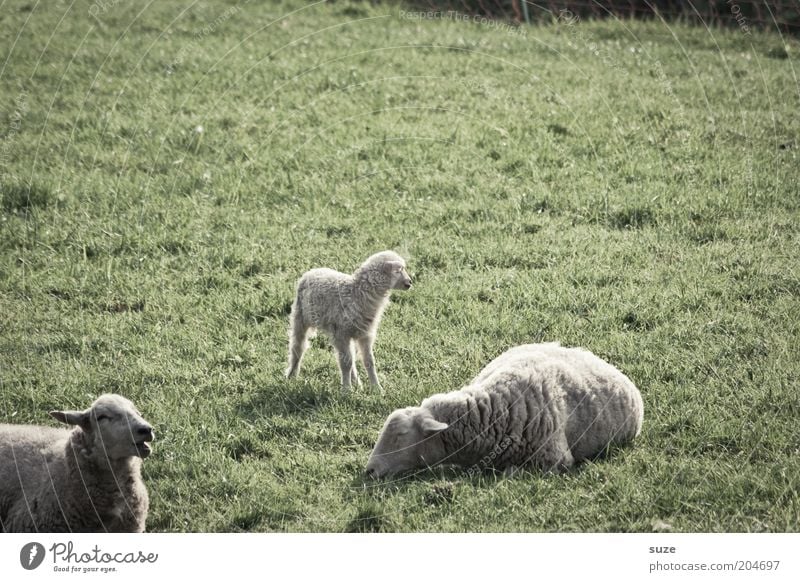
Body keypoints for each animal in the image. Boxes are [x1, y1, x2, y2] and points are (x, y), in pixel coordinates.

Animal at [286, 249, 412, 394]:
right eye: (398, 270)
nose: (410, 282)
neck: (357, 292)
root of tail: (312, 271)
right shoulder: (341, 334)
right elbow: (346, 363)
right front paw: (346, 391)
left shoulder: (365, 334)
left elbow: (369, 361)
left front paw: (377, 389)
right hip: (300, 317)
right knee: (297, 347)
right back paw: (291, 375)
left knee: (350, 357)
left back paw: (357, 383)